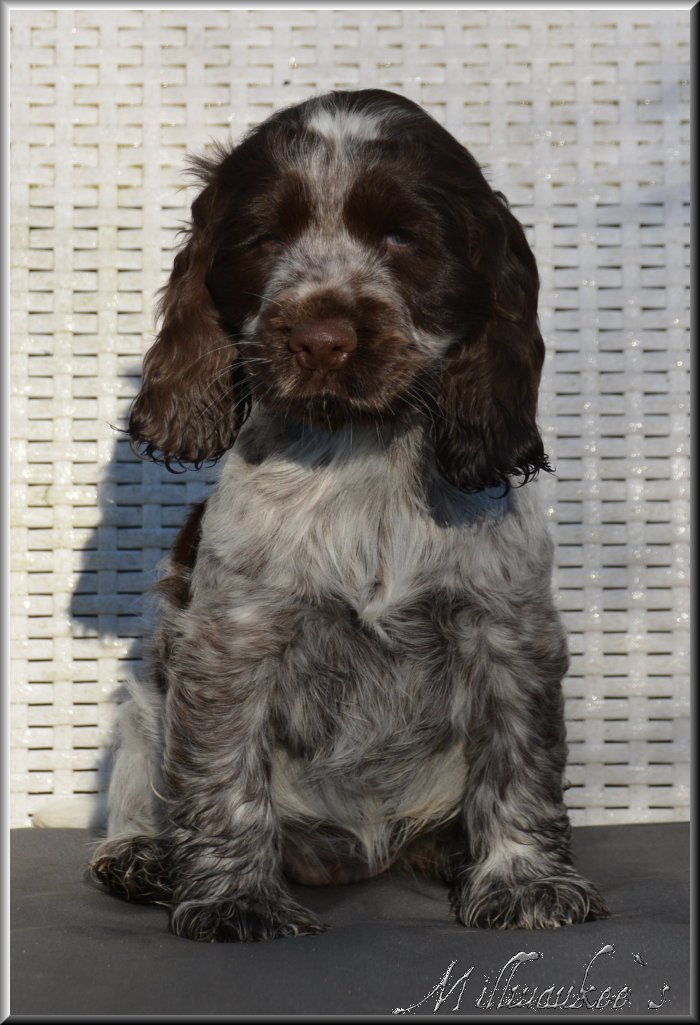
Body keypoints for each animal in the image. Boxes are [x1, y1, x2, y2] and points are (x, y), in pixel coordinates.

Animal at [89, 88, 609, 941]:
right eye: (265, 238)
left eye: (402, 237)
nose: (321, 338)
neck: (361, 453)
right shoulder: (231, 641)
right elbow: (224, 774)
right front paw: (235, 898)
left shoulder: (510, 629)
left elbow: (521, 765)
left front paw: (525, 882)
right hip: (147, 707)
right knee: (142, 772)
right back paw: (141, 854)